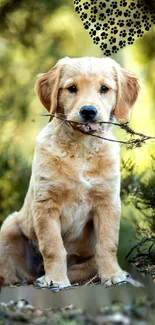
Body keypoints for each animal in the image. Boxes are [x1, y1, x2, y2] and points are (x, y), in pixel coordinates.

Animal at [0, 57, 139, 288]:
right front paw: (55, 280)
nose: (88, 111)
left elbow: (108, 243)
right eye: (72, 88)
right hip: (8, 227)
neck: (81, 147)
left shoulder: (108, 202)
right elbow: (53, 246)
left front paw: (113, 275)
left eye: (104, 88)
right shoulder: (46, 204)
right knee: (12, 274)